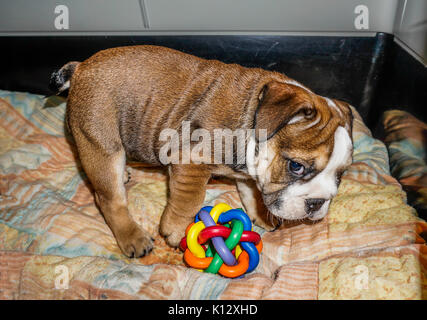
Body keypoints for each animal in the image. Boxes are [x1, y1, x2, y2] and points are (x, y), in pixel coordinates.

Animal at [50, 45, 352, 258]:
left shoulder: (248, 173)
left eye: (340, 175)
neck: (254, 117)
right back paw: (132, 237)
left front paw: (260, 215)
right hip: (101, 143)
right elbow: (190, 198)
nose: (317, 203)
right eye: (296, 167)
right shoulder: (190, 161)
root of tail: (81, 67)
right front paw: (175, 229)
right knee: (109, 199)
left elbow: (252, 192)